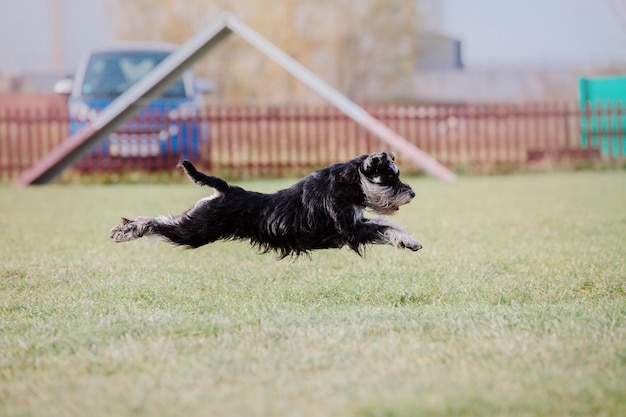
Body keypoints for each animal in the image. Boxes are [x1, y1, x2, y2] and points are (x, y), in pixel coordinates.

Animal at [109, 151, 422, 256]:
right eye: (390, 177)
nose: (412, 194)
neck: (350, 183)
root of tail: (225, 190)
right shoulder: (352, 230)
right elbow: (384, 227)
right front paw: (410, 241)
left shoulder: (356, 225)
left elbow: (385, 222)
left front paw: (410, 240)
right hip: (196, 230)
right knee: (156, 224)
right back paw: (124, 231)